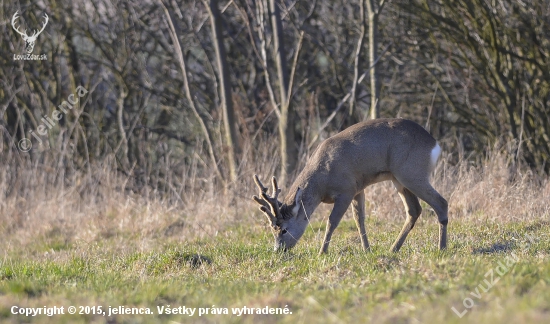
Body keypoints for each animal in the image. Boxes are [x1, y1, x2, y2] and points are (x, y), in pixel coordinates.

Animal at [254, 117, 448, 254]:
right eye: (272, 229)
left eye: (284, 230)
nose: (278, 250)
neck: (321, 183)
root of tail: (434, 144)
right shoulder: (358, 189)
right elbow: (359, 220)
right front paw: (367, 250)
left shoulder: (346, 190)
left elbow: (332, 221)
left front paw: (322, 252)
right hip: (398, 179)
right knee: (414, 210)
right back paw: (393, 249)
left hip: (412, 172)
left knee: (441, 202)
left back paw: (442, 248)